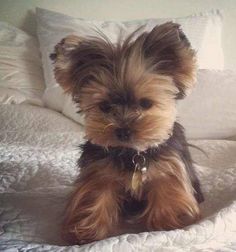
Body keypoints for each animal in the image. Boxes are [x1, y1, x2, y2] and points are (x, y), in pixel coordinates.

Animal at [50, 22, 204, 244]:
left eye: (145, 103)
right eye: (104, 106)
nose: (123, 130)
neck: (132, 153)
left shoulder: (168, 167)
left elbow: (167, 188)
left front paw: (168, 222)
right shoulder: (100, 172)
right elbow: (96, 194)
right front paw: (87, 231)